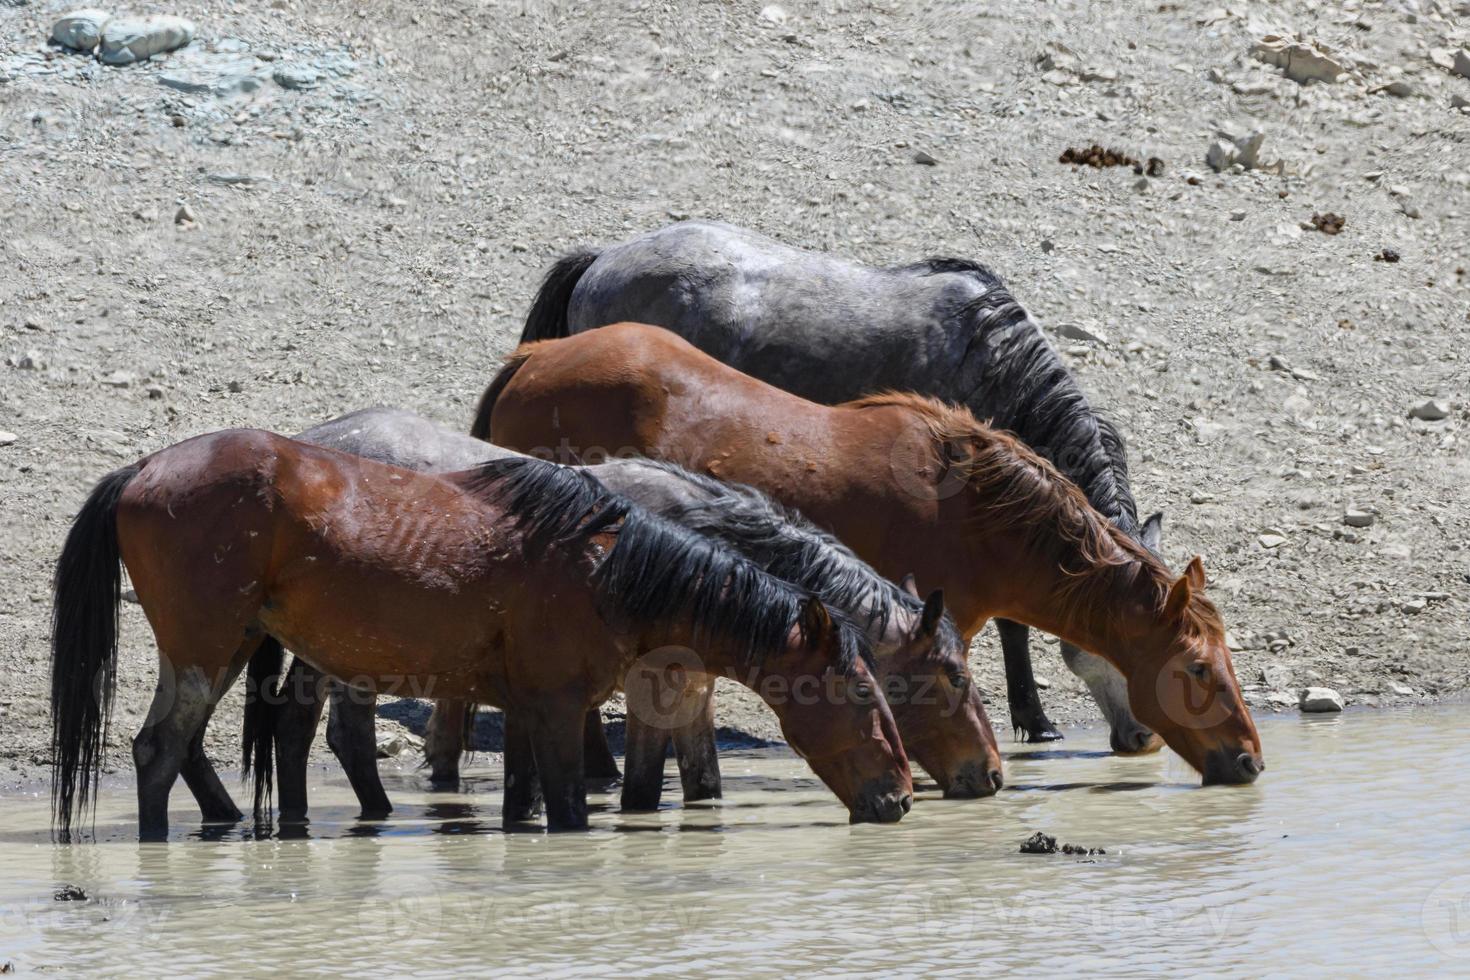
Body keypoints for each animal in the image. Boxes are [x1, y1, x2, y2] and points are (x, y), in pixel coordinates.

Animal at [51, 429, 911, 834]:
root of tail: (144, 470)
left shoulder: (528, 711)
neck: (610, 573)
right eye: (863, 699)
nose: (902, 798)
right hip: (206, 649)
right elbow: (567, 812)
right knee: (160, 752)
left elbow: (521, 810)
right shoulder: (560, 711)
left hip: (225, 649)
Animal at [255, 405, 999, 822]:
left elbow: (704, 786)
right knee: (342, 734)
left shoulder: (691, 692)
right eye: (955, 678)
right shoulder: (649, 691)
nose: (993, 774)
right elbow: (643, 789)